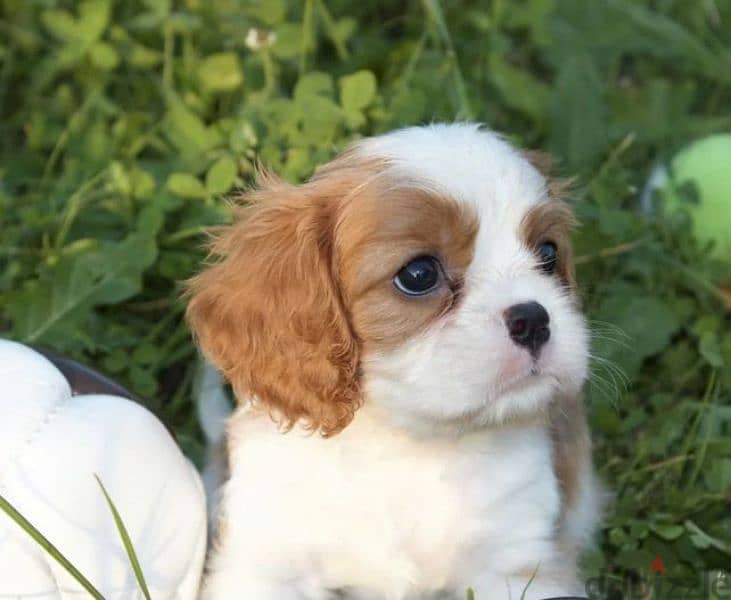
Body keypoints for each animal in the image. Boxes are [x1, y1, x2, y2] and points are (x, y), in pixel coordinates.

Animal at [187, 123, 600, 600]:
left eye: (548, 254)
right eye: (418, 275)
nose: (533, 319)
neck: (407, 446)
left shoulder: (516, 567)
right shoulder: (266, 566)